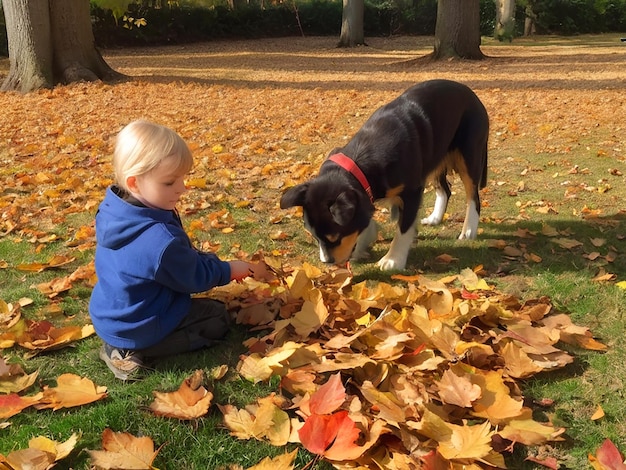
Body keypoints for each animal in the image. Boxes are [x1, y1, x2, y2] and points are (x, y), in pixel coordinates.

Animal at [278, 79, 488, 270]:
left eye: (335, 237)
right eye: (315, 237)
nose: (327, 262)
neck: (362, 157)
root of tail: (471, 93)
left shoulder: (412, 191)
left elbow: (403, 228)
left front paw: (393, 259)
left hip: (469, 155)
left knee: (473, 196)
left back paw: (469, 230)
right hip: (436, 157)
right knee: (445, 190)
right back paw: (435, 218)